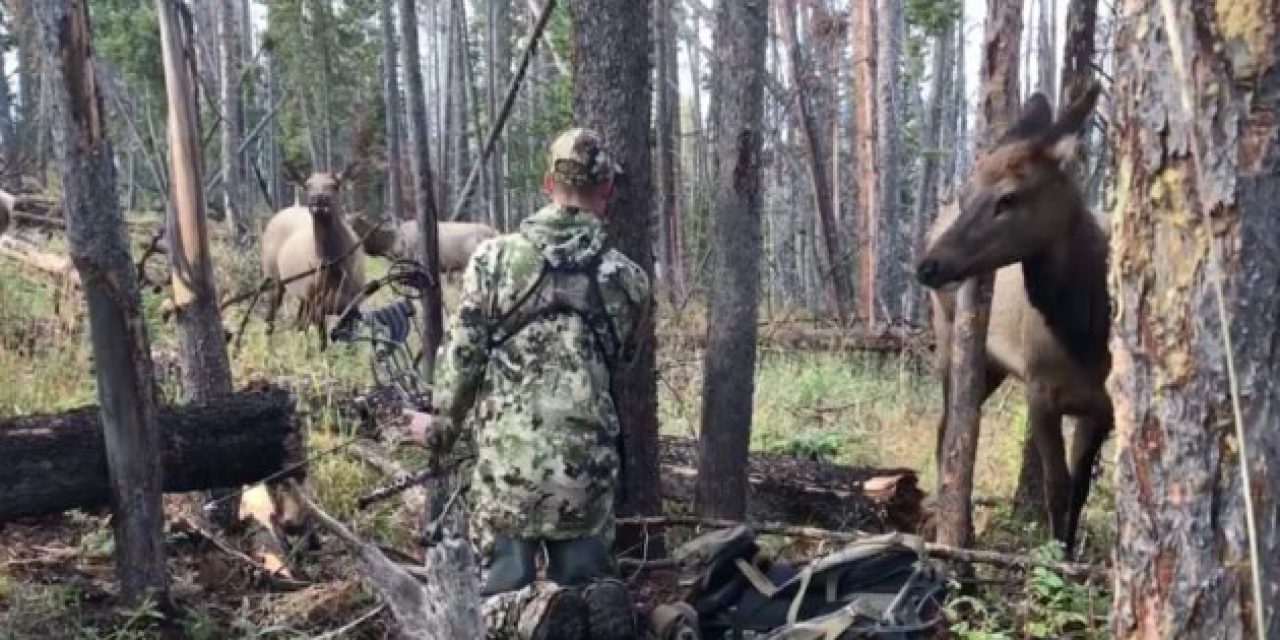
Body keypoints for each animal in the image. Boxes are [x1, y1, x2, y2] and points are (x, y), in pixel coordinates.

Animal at [261, 162, 368, 348]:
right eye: (307, 185)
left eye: (335, 185)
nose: (318, 198)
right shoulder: (317, 305)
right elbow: (323, 343)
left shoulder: (353, 304)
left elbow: (350, 345)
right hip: (274, 278)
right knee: (271, 319)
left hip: (303, 295)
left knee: (299, 323)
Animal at [921, 83, 1111, 555]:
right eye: (968, 194)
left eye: (1009, 197)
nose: (928, 265)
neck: (1087, 332)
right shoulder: (1040, 390)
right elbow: (1057, 488)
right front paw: (1053, 559)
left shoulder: (1104, 408)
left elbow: (1079, 491)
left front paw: (1069, 556)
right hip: (950, 343)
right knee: (949, 432)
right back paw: (958, 530)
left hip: (992, 367)